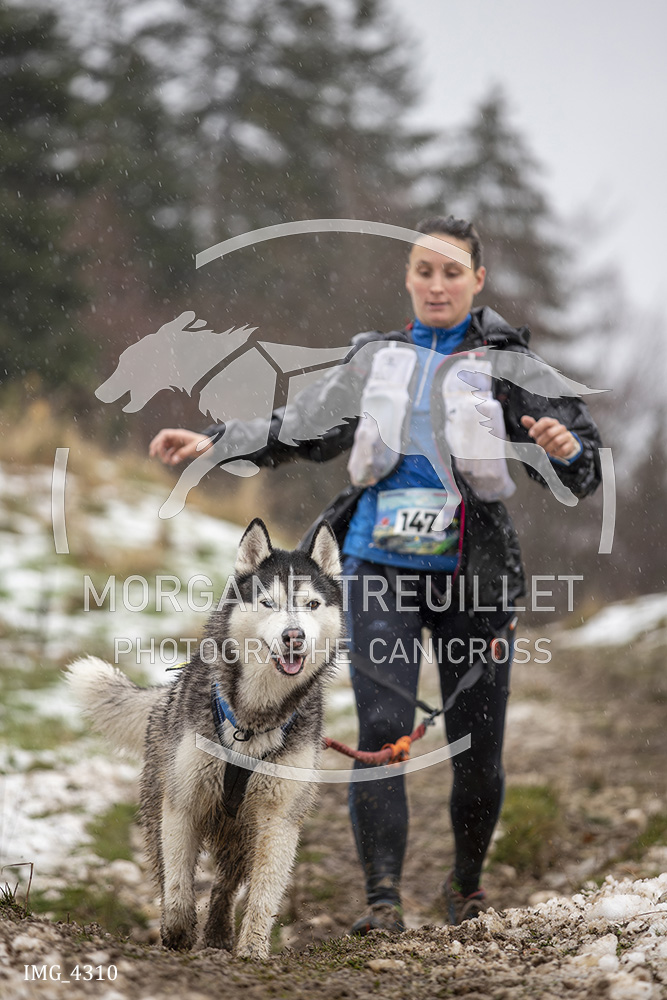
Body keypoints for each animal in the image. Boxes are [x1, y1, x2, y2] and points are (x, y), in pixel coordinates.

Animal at [65, 518, 343, 960]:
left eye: (312, 605)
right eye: (268, 603)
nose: (294, 636)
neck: (253, 718)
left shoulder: (278, 819)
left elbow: (263, 896)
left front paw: (253, 951)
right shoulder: (184, 803)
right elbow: (179, 885)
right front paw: (177, 933)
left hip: (242, 836)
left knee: (225, 887)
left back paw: (218, 933)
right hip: (160, 808)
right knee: (167, 871)